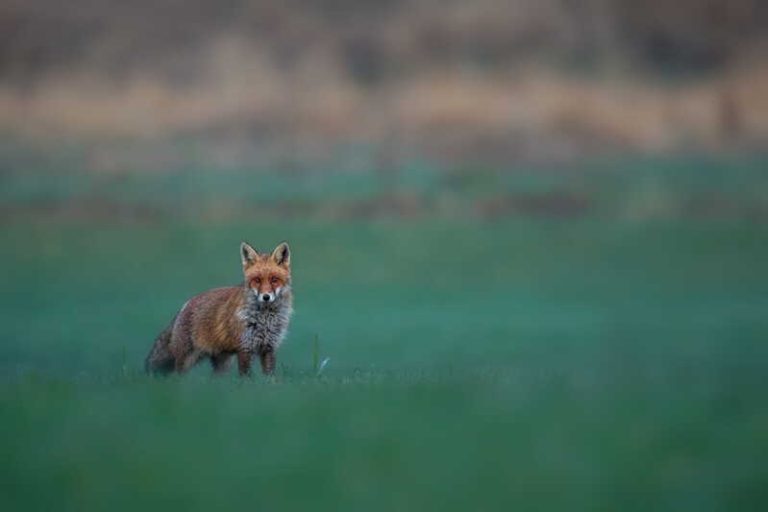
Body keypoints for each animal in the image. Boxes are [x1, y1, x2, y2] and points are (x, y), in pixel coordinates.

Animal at [145, 241, 293, 377]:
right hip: (187, 359)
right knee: (178, 377)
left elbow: (270, 377)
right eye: (257, 280)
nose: (266, 297)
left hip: (223, 362)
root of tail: (185, 305)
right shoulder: (245, 347)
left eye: (274, 279)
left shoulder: (269, 347)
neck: (265, 318)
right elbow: (246, 378)